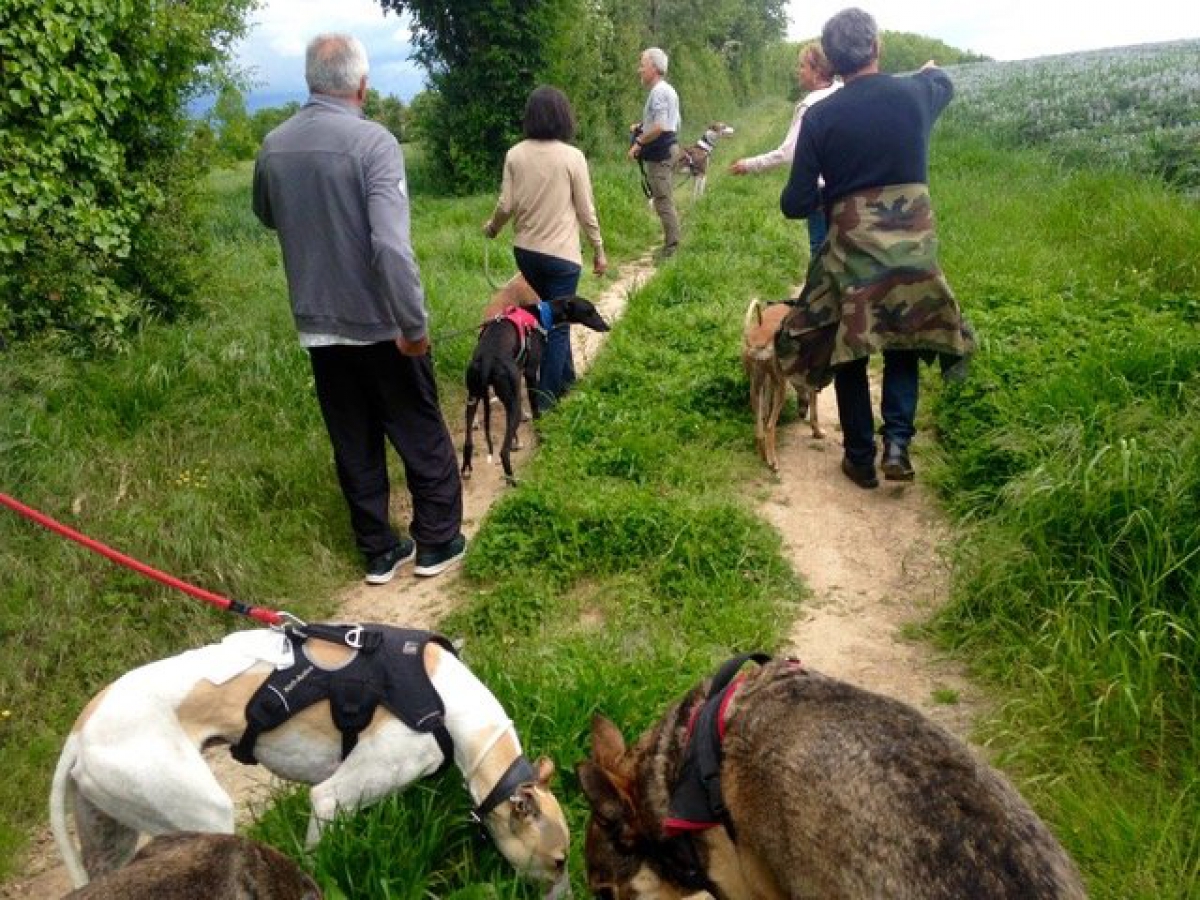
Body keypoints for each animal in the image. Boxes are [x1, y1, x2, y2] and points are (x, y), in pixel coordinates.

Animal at [463, 292, 610, 484]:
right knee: (503, 451)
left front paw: (518, 440)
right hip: (513, 403)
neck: (542, 314)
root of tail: (487, 359)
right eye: (590, 311)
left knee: (468, 440)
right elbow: (536, 410)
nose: (607, 327)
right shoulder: (531, 372)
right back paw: (513, 482)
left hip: (474, 397)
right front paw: (541, 436)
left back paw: (467, 469)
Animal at [743, 300, 823, 471]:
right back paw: (773, 461)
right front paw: (817, 432)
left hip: (756, 386)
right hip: (780, 388)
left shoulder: (770, 382)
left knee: (760, 429)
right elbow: (814, 412)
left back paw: (764, 455)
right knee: (769, 427)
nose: (801, 414)